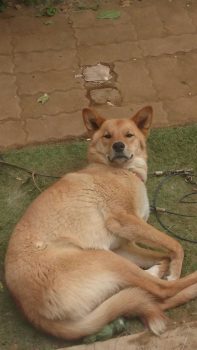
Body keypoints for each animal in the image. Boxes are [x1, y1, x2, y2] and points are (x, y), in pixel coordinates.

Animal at [4, 106, 197, 340]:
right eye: (107, 136)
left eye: (129, 135)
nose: (118, 145)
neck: (122, 170)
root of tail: (32, 312)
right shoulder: (123, 220)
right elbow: (175, 245)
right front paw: (174, 270)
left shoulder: (122, 244)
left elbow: (163, 252)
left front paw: (164, 266)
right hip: (103, 257)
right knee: (161, 291)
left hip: (111, 259)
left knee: (143, 287)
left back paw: (156, 270)